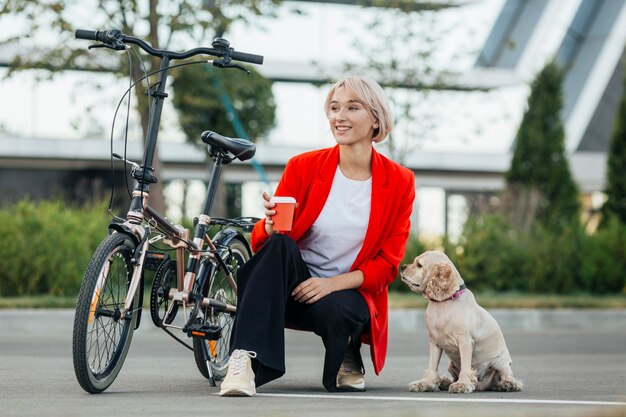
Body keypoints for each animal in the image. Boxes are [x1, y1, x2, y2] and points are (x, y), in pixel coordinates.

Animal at [400, 250, 520, 394]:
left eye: (419, 265)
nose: (402, 267)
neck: (444, 302)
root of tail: (482, 385)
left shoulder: (465, 341)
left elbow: (466, 367)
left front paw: (462, 384)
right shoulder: (434, 342)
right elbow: (432, 366)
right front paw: (425, 383)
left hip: (500, 362)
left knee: (508, 377)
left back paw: (507, 385)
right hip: (451, 364)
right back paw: (445, 382)